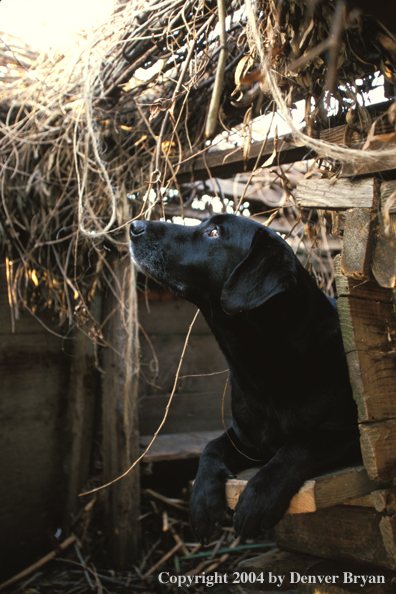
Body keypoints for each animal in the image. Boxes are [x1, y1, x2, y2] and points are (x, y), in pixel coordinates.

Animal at [131, 212, 362, 540]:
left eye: (214, 232)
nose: (134, 226)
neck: (263, 367)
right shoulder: (246, 440)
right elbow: (210, 448)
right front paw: (202, 503)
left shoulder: (350, 433)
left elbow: (300, 445)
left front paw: (258, 499)